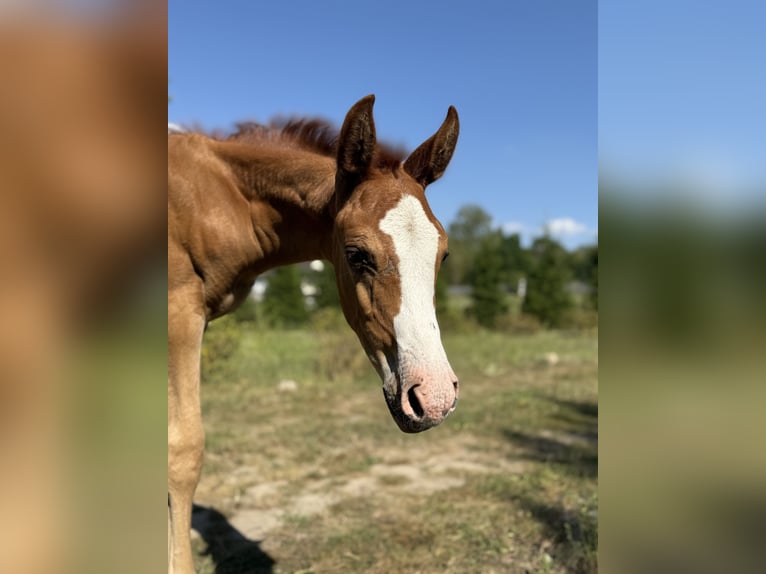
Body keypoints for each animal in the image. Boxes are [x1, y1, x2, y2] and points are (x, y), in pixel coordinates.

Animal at [168, 95, 460, 573]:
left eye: (444, 254)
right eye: (356, 254)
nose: (434, 399)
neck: (220, 198)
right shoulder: (179, 312)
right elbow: (183, 450)